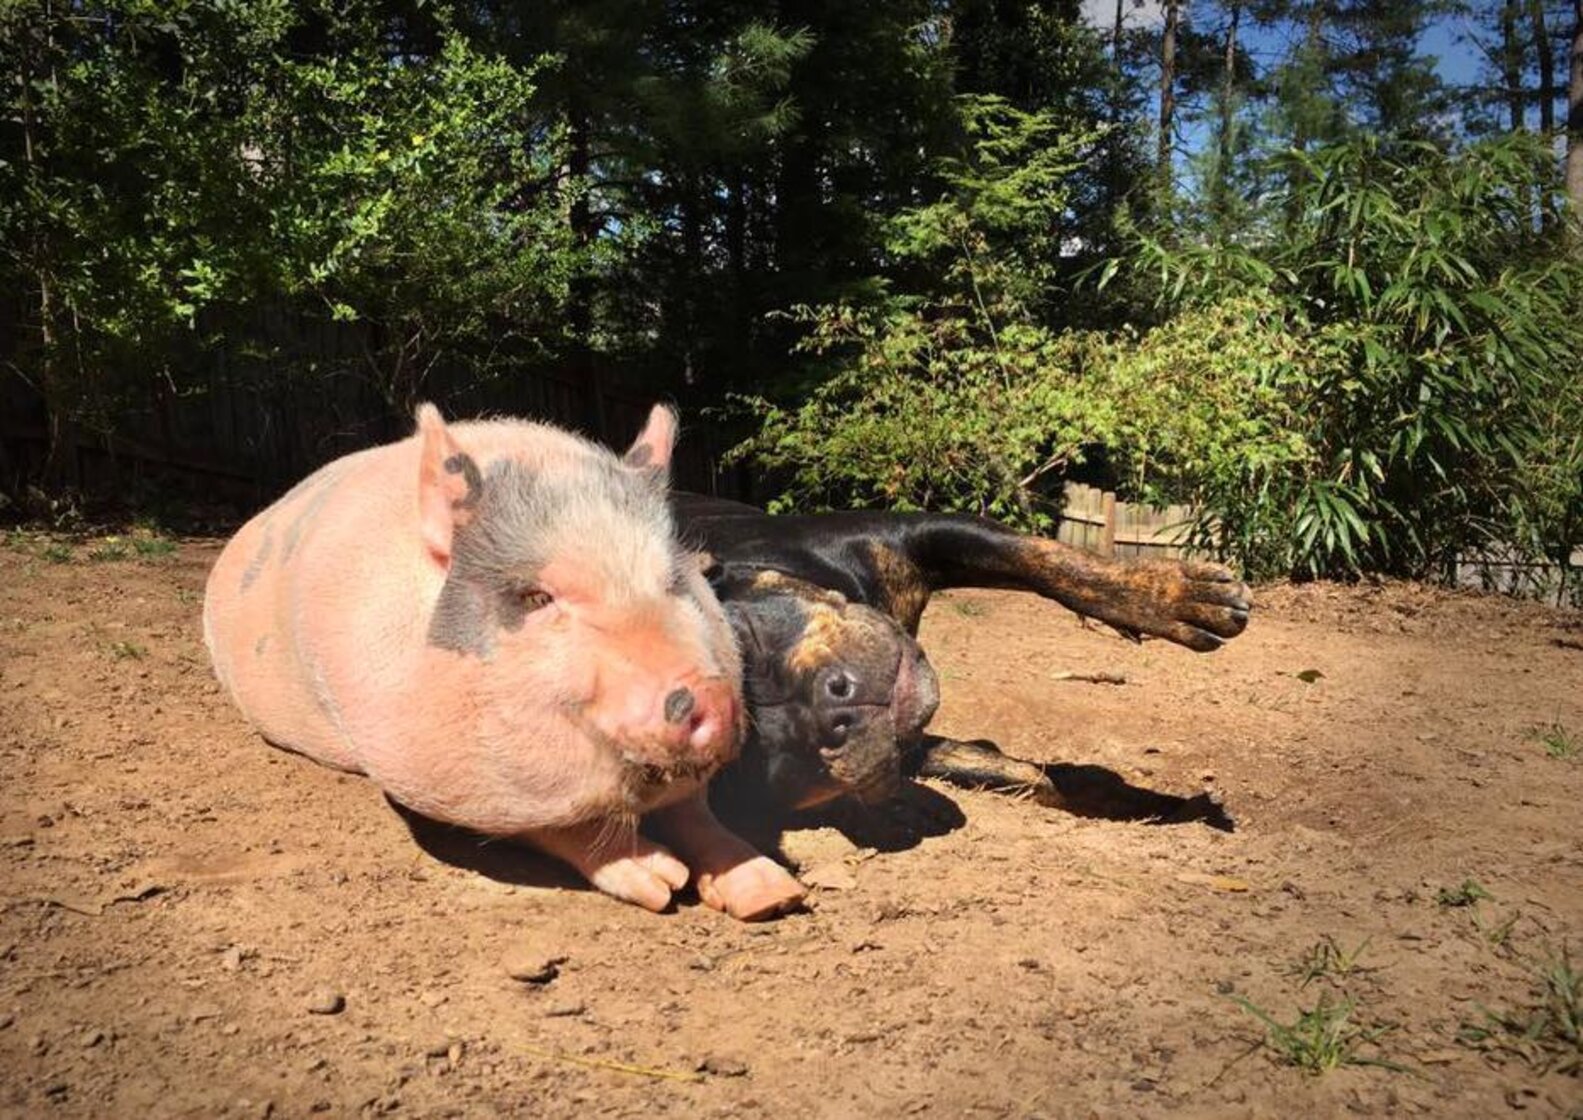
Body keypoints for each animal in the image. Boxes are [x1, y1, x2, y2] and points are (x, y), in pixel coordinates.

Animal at [202, 404, 807, 920]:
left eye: (673, 583)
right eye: (537, 598)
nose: (709, 694)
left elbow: (696, 812)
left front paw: (775, 896)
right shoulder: (432, 776)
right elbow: (553, 828)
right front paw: (665, 882)